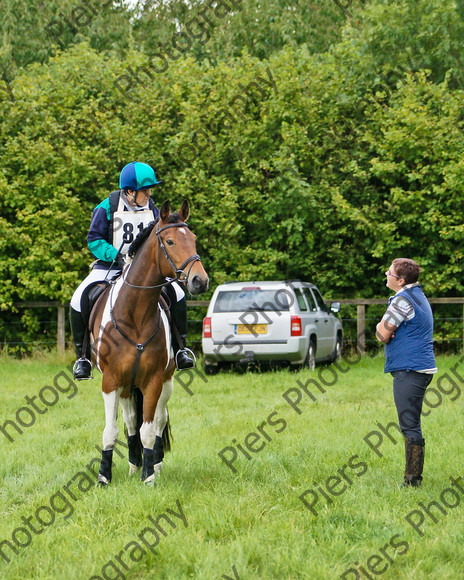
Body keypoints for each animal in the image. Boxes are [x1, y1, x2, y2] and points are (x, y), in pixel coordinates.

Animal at [89, 199, 208, 484]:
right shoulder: (111, 381)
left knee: (158, 421)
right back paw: (134, 463)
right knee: (132, 420)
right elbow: (112, 430)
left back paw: (154, 462)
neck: (135, 314)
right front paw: (104, 476)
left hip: (165, 381)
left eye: (193, 239)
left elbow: (149, 428)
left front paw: (149, 475)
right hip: (126, 386)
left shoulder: (153, 380)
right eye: (170, 241)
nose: (200, 281)